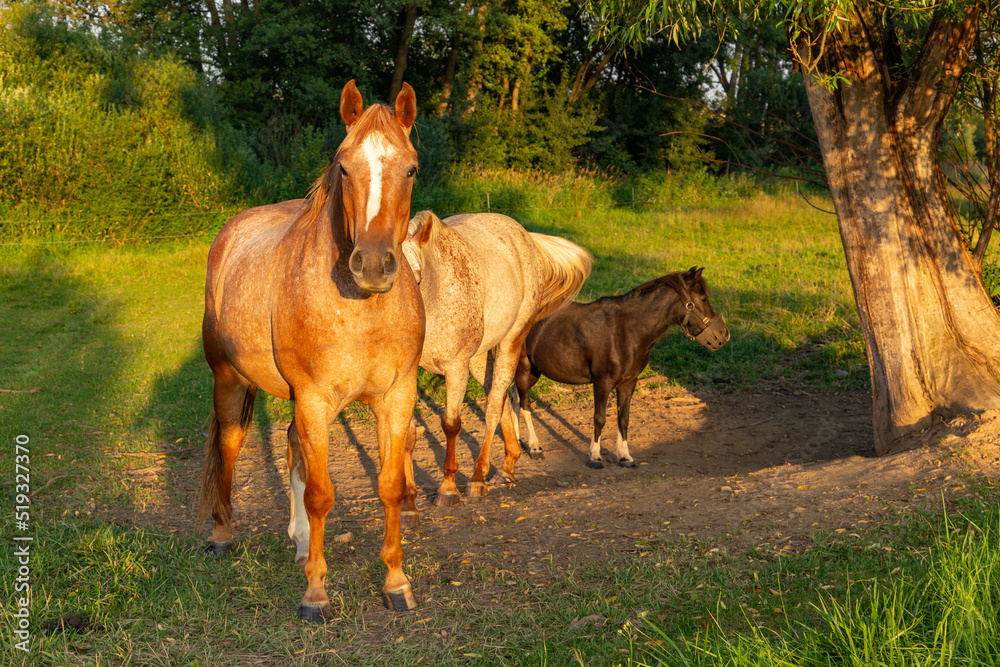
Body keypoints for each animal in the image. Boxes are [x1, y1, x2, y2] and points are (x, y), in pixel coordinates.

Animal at [197, 80, 424, 622]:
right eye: (343, 166)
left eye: (410, 168)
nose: (373, 265)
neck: (361, 310)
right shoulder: (316, 400)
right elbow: (322, 494)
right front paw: (316, 594)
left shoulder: (395, 398)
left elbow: (390, 487)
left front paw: (396, 583)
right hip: (229, 378)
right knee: (229, 445)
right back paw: (222, 535)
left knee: (291, 447)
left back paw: (301, 543)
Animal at [401, 210, 591, 507]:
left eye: (418, 276)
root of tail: (525, 236)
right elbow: (407, 432)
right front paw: (409, 498)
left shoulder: (456, 368)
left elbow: (451, 425)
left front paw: (448, 488)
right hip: (479, 358)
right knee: (499, 400)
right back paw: (508, 465)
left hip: (509, 343)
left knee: (494, 405)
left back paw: (479, 478)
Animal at [513, 267, 728, 467]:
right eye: (703, 299)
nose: (724, 335)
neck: (627, 330)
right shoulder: (602, 382)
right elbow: (599, 418)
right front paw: (595, 456)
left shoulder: (628, 382)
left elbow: (623, 418)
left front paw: (624, 456)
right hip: (524, 368)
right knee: (525, 404)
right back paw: (534, 447)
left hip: (532, 372)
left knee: (514, 398)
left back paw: (518, 441)